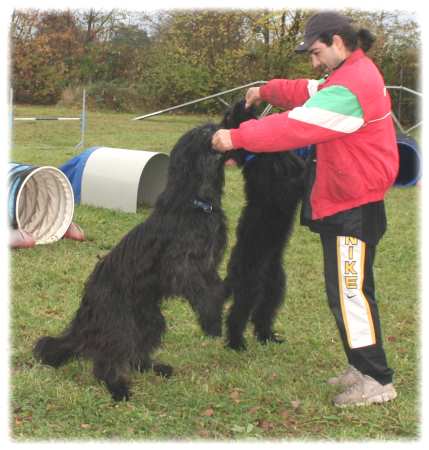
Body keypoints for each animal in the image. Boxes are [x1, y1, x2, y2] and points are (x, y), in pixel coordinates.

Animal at [33, 123, 227, 400]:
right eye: (203, 132)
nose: (222, 126)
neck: (197, 203)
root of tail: (86, 308)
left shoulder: (208, 262)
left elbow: (215, 288)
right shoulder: (180, 266)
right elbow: (202, 292)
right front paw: (211, 322)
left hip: (149, 319)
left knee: (136, 352)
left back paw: (154, 367)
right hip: (119, 322)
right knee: (107, 359)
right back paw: (118, 388)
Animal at [221, 101, 304, 352]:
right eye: (228, 116)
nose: (241, 101)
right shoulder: (285, 186)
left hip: (275, 288)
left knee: (262, 315)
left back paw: (267, 336)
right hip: (249, 288)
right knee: (237, 315)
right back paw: (236, 343)